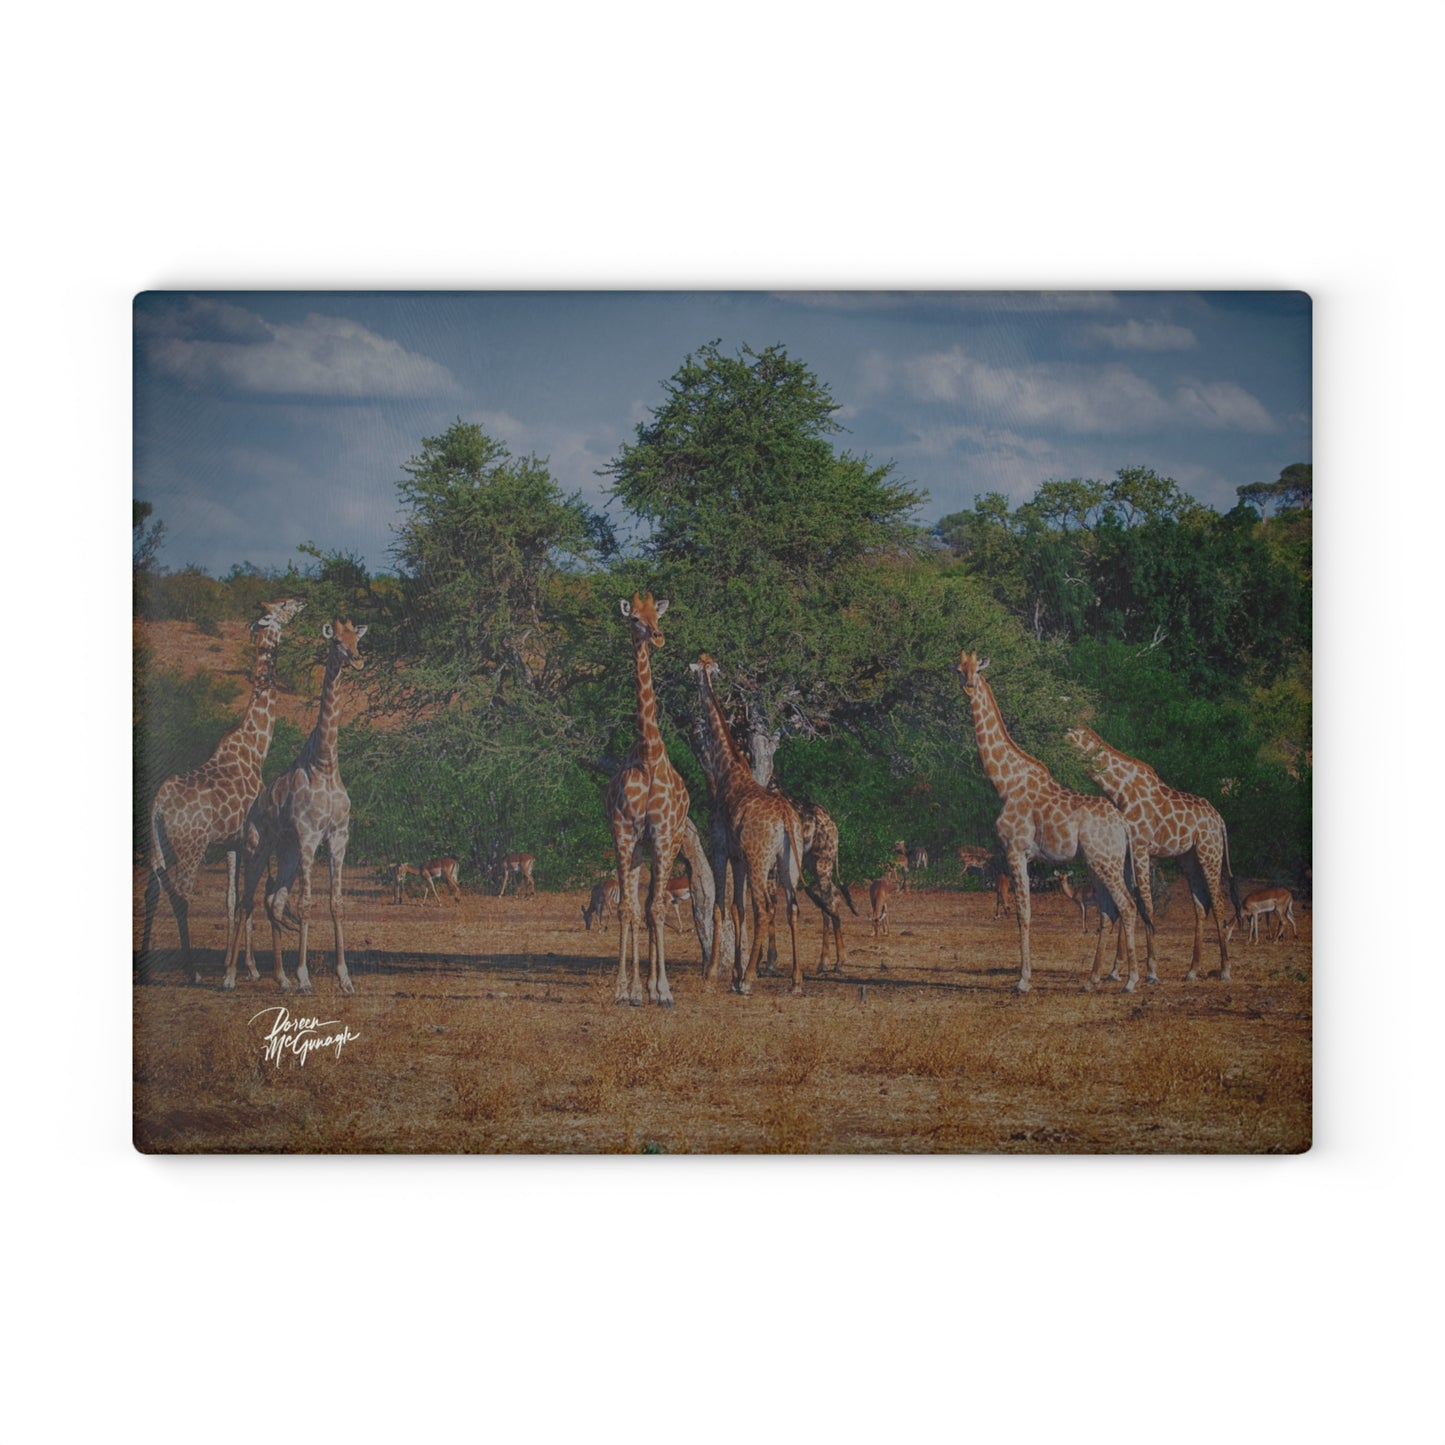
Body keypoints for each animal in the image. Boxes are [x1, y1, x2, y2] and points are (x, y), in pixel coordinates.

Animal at [141, 597, 305, 983]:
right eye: (283, 605)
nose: (303, 600)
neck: (256, 748)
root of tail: (157, 805)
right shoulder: (257, 837)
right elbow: (254, 894)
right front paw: (254, 969)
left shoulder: (232, 841)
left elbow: (233, 900)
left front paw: (239, 966)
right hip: (191, 846)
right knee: (181, 895)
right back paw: (191, 971)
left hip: (160, 845)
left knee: (151, 891)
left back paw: (144, 968)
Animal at [222, 618, 367, 994]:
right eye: (336, 642)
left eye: (357, 639)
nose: (357, 659)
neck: (325, 764)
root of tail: (253, 808)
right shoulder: (309, 836)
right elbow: (305, 905)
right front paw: (305, 977)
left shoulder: (338, 837)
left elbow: (336, 904)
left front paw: (344, 977)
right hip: (257, 848)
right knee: (245, 903)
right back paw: (229, 977)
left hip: (285, 852)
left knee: (273, 902)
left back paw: (281, 979)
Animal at [689, 652, 805, 995]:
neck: (725, 769)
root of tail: (786, 818)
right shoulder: (738, 858)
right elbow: (737, 909)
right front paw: (734, 973)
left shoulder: (720, 849)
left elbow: (719, 908)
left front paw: (714, 974)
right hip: (787, 861)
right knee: (792, 907)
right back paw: (795, 980)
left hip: (760, 859)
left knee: (765, 907)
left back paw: (751, 979)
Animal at [955, 651, 1148, 993]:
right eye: (958, 669)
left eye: (977, 669)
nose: (968, 685)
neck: (1005, 783)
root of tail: (1123, 824)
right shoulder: (1024, 855)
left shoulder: (1015, 850)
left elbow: (1023, 913)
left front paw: (1023, 980)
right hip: (1098, 862)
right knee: (1109, 910)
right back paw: (1091, 979)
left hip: (1107, 861)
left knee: (1126, 905)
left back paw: (1131, 981)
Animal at [1065, 725, 1237, 982]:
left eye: (1066, 735)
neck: (1119, 789)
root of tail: (1220, 820)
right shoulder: (1128, 851)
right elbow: (1129, 902)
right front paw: (1116, 970)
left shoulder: (1140, 846)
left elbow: (1146, 904)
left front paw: (1151, 971)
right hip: (1189, 858)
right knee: (1201, 904)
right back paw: (1192, 970)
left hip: (1210, 851)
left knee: (1217, 901)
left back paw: (1225, 969)